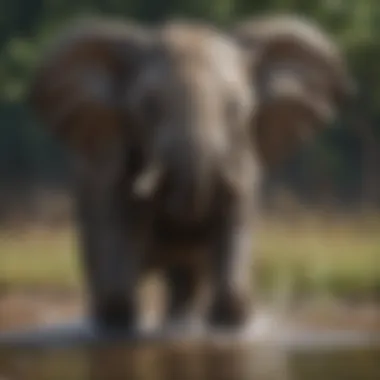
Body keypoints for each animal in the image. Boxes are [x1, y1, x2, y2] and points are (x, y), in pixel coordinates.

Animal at [27, 14, 354, 332]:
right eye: (148, 107)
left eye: (236, 109)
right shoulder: (113, 161)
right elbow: (120, 235)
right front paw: (119, 323)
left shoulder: (241, 157)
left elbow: (235, 223)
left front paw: (227, 324)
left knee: (185, 280)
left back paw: (181, 324)